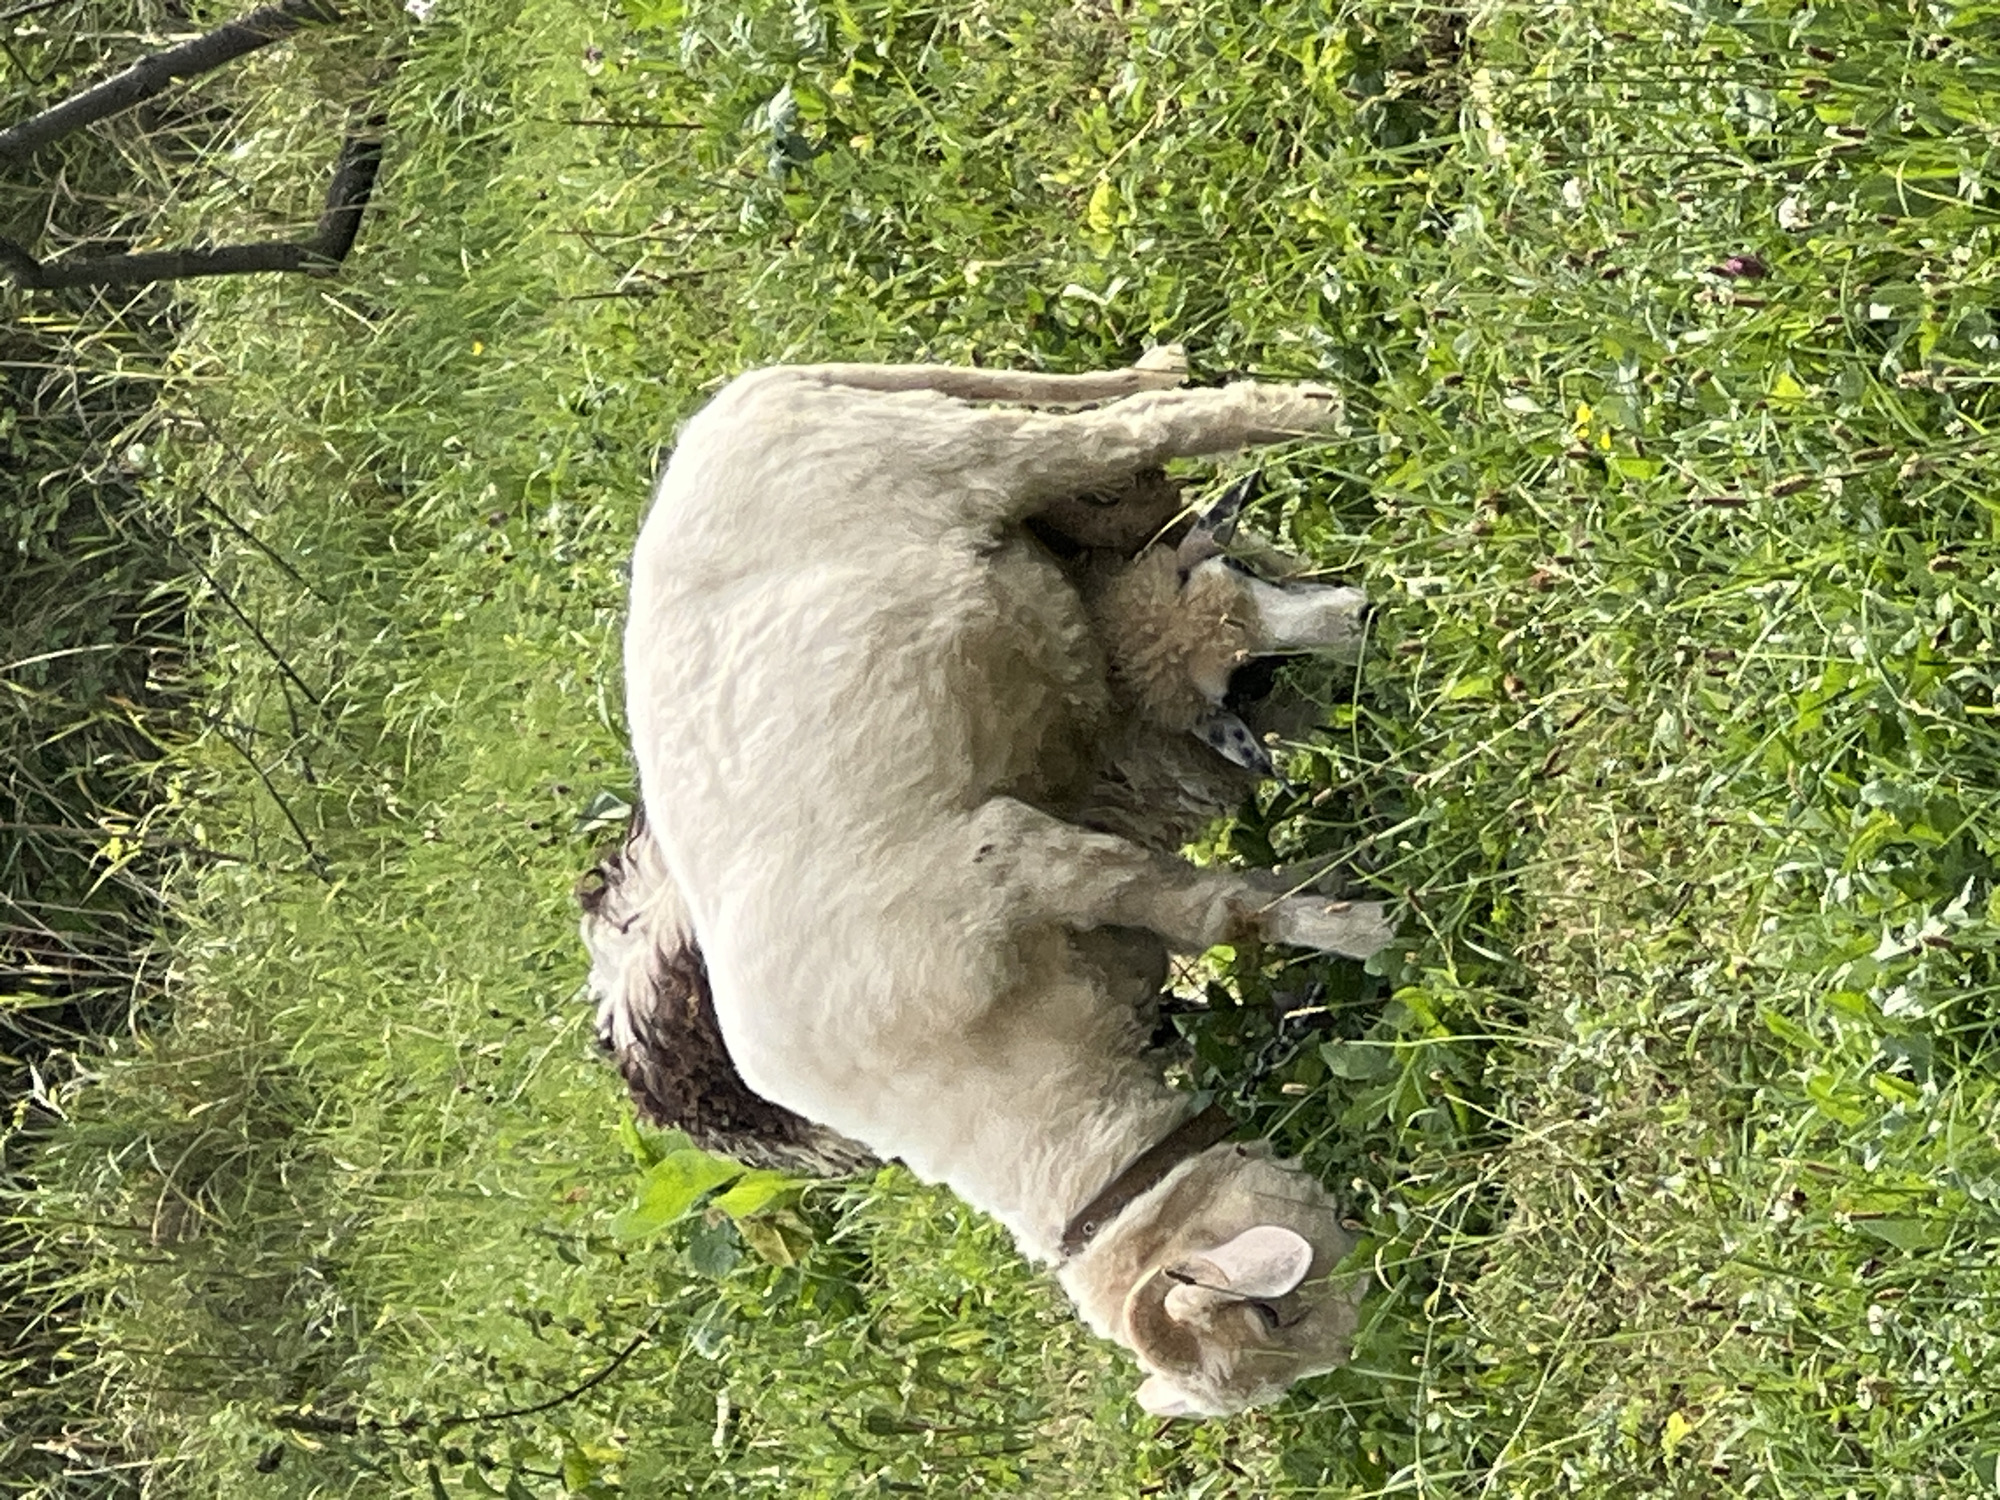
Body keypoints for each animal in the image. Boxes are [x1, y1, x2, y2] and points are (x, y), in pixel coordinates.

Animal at [590, 347, 1394, 1417]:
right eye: (1275, 1317)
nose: (1381, 1316)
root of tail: (729, 414)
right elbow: (1215, 906)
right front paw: (1337, 889)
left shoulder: (1012, 857)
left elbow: (1212, 907)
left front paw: (1365, 928)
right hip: (921, 413)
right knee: (1061, 399)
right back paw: (1171, 377)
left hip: (970, 460)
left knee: (1132, 433)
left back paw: (1308, 416)